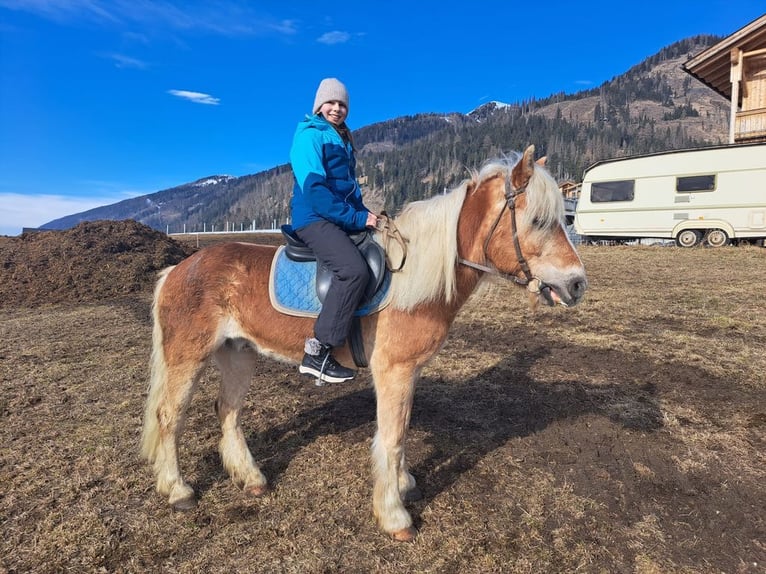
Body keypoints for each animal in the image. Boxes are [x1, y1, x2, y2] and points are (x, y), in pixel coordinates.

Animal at [141, 146, 588, 544]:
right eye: (538, 220)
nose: (577, 284)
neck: (413, 279)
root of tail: (177, 269)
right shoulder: (394, 370)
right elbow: (391, 438)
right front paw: (394, 516)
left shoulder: (409, 372)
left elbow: (401, 431)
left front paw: (404, 484)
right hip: (188, 355)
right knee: (169, 415)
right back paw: (178, 490)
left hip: (238, 354)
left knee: (228, 412)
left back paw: (250, 479)